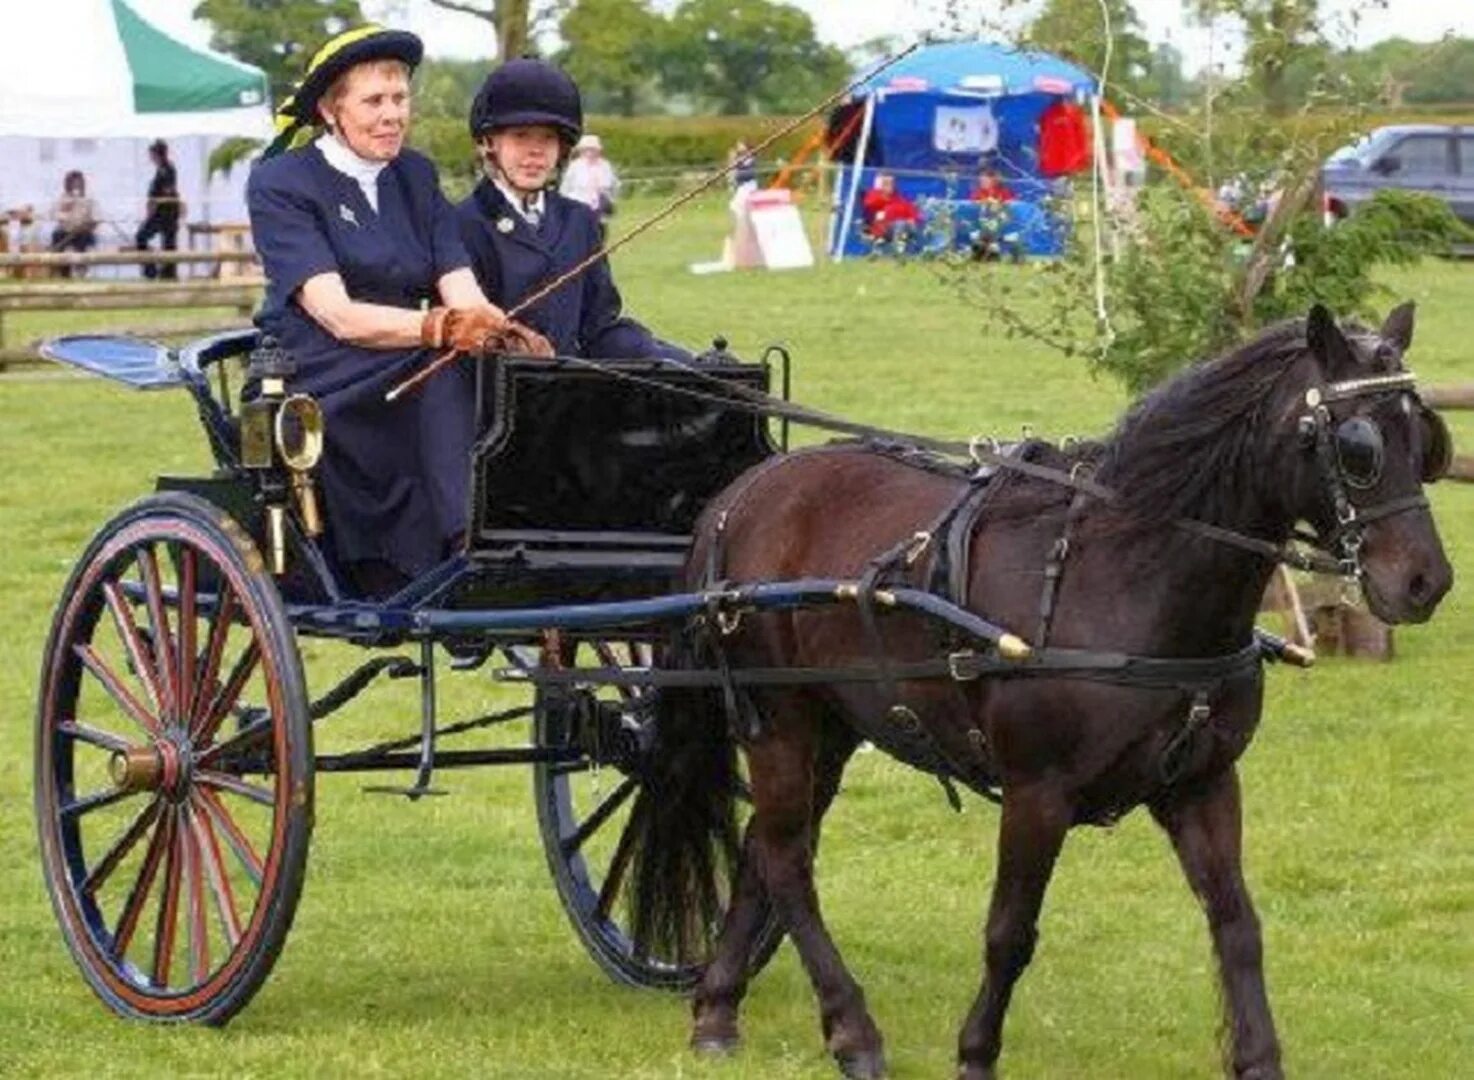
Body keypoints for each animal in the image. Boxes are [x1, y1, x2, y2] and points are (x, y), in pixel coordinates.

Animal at [622, 303, 1450, 1078]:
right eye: (1359, 447)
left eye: (1426, 437)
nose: (1426, 581)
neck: (1125, 575)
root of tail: (742, 494)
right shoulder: (1036, 792)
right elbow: (1009, 932)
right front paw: (976, 1053)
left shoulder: (1204, 782)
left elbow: (1236, 922)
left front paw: (1259, 1058)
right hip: (780, 721)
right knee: (789, 861)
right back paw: (851, 1028)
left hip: (830, 725)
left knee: (763, 851)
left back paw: (718, 1010)